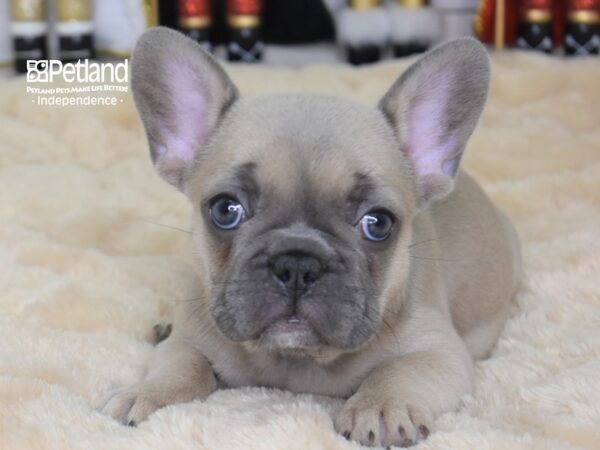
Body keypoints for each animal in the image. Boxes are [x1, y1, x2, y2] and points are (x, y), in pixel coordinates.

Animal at [102, 28, 520, 446]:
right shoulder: (190, 338)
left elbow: (400, 371)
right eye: (225, 210)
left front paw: (382, 406)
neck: (293, 360)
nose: (297, 263)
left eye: (378, 223)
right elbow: (181, 364)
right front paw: (148, 392)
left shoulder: (440, 351)